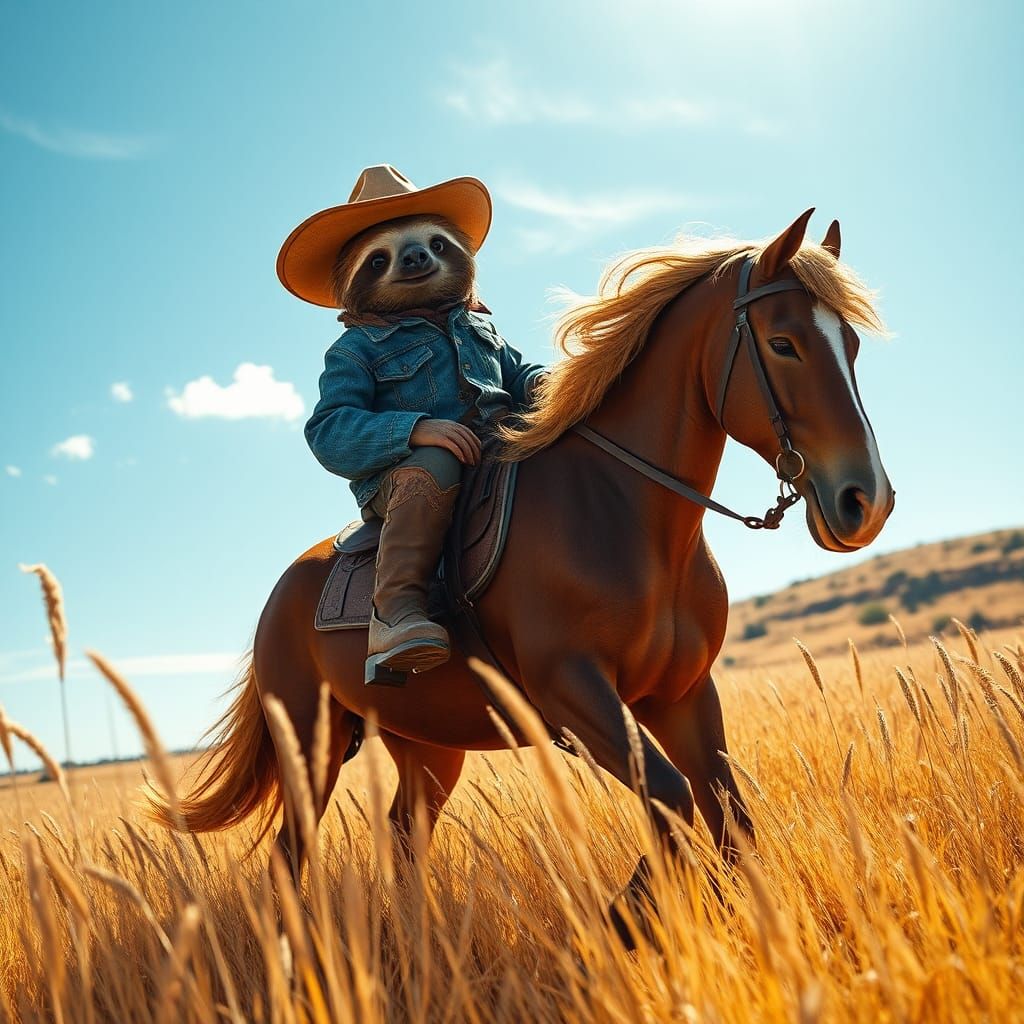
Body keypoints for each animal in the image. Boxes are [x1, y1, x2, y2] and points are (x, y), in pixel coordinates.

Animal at [150, 209, 894, 932]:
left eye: (852, 347)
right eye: (783, 344)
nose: (866, 502)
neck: (622, 511)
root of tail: (283, 591)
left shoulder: (682, 694)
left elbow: (727, 818)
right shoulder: (571, 692)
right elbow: (674, 802)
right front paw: (622, 920)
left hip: (426, 746)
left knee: (401, 838)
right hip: (312, 742)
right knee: (288, 853)